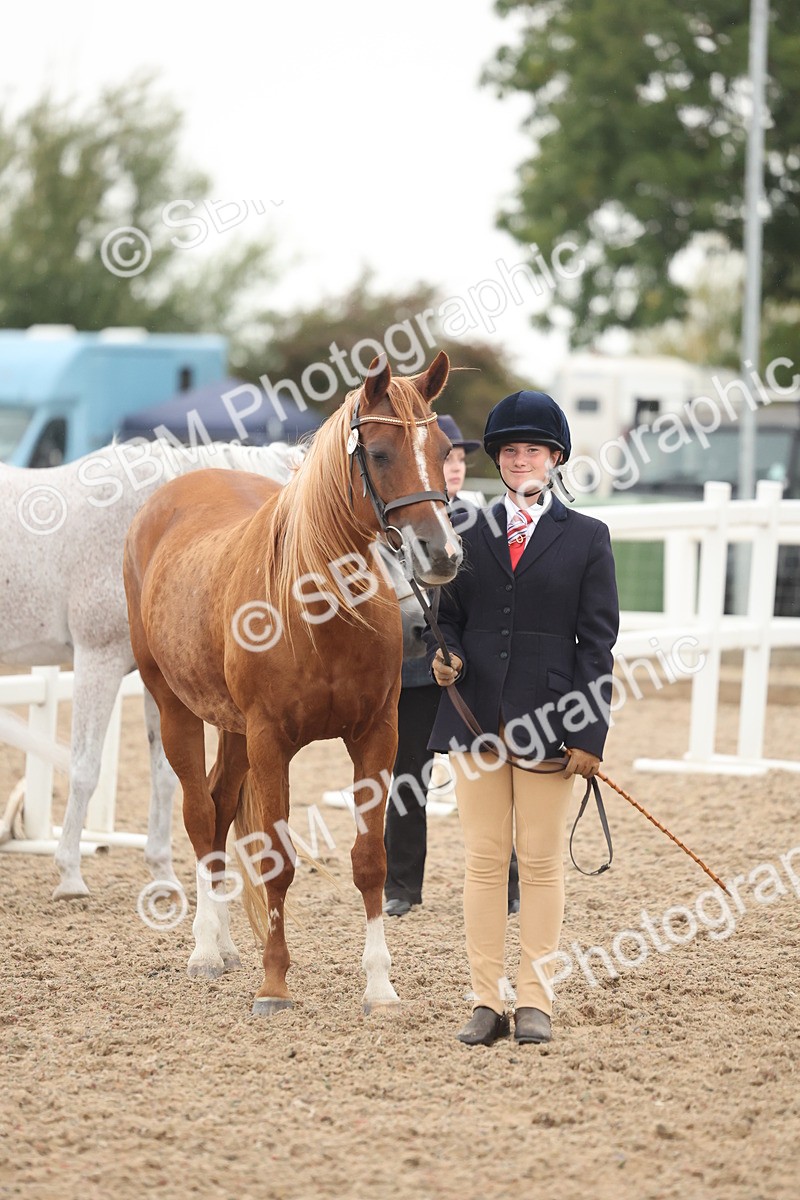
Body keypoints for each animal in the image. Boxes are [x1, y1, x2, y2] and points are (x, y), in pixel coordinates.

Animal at [0, 436, 301, 898]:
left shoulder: (158, 682)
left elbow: (165, 774)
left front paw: (164, 875)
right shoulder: (97, 660)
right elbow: (85, 768)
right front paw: (70, 874)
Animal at [123, 351, 461, 1013]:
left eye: (440, 450)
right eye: (379, 453)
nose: (441, 554)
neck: (318, 606)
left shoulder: (376, 738)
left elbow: (370, 860)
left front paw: (379, 985)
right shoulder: (271, 743)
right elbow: (277, 862)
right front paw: (274, 983)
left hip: (231, 728)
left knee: (220, 806)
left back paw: (227, 945)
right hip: (176, 708)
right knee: (199, 816)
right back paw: (205, 951)